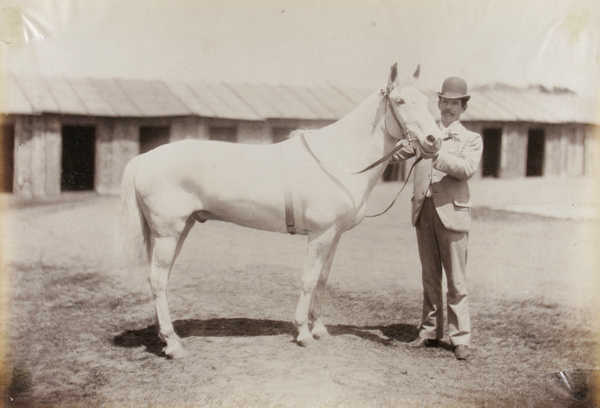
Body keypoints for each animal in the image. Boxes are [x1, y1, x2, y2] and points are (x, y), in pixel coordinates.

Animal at [120, 63, 440, 356]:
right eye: (400, 101)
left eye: (427, 100)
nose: (434, 141)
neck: (337, 158)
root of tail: (145, 159)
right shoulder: (320, 235)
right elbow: (309, 280)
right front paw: (303, 333)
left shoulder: (334, 236)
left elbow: (323, 279)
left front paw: (319, 329)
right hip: (168, 233)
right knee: (157, 279)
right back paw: (173, 344)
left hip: (179, 230)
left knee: (161, 278)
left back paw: (167, 337)